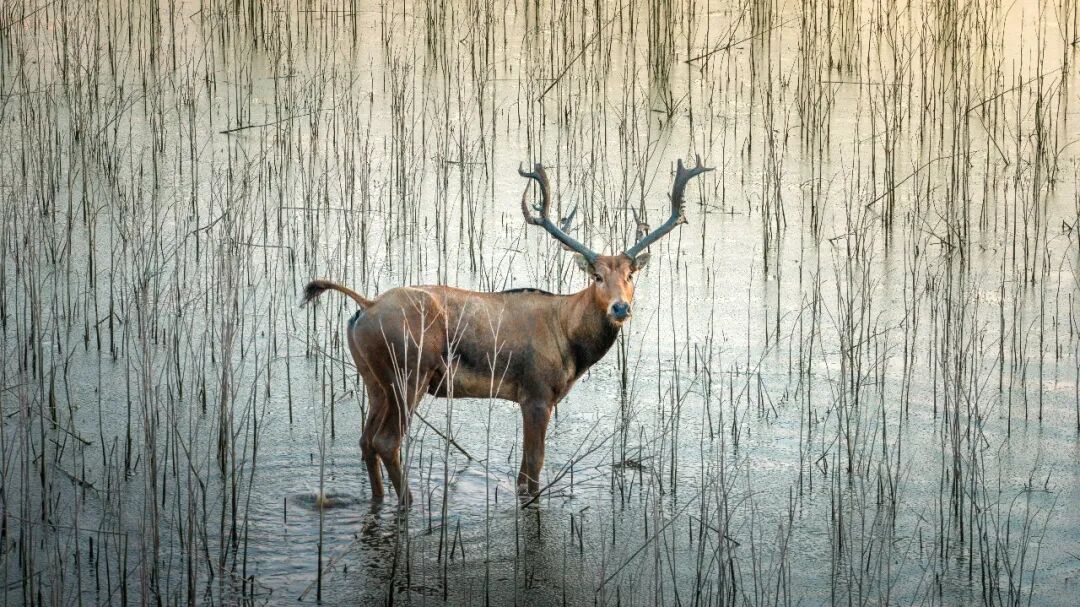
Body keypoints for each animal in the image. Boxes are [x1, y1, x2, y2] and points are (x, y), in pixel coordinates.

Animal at [302, 157, 711, 505]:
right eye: (596, 276)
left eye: (630, 275)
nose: (620, 307)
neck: (569, 341)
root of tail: (365, 307)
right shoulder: (536, 392)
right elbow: (531, 468)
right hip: (410, 371)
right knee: (387, 441)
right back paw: (408, 502)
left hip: (374, 379)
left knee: (366, 440)